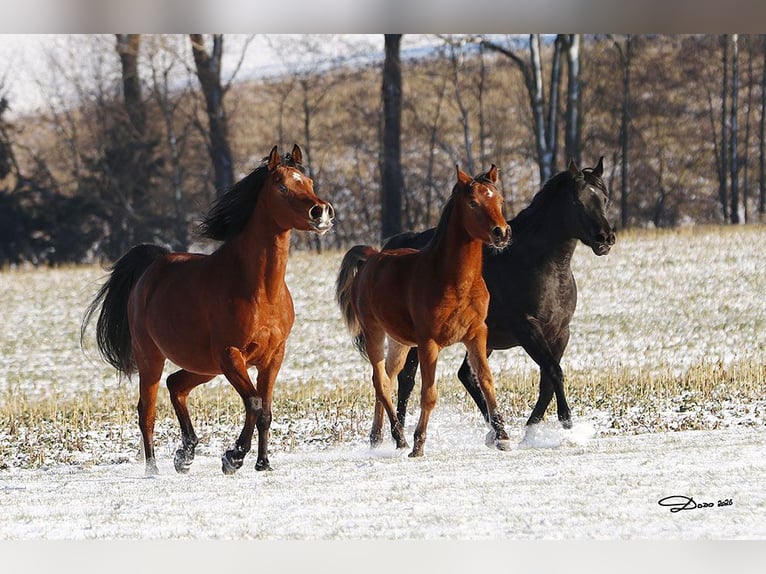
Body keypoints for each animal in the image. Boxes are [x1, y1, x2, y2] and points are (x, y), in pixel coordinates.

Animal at [81, 145, 334, 476]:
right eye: (282, 186)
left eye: (309, 183)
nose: (322, 212)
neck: (259, 289)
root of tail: (152, 266)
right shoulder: (231, 355)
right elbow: (254, 403)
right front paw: (233, 457)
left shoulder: (273, 357)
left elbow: (265, 411)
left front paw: (263, 463)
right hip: (152, 357)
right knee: (147, 410)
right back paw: (153, 469)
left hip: (204, 366)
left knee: (176, 385)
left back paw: (186, 453)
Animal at [336, 164, 512, 458]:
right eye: (473, 203)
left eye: (499, 200)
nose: (502, 233)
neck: (453, 281)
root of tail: (371, 257)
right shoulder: (429, 343)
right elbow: (429, 394)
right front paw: (418, 443)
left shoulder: (476, 335)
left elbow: (486, 381)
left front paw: (503, 436)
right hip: (375, 333)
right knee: (381, 382)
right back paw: (400, 438)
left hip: (399, 342)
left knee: (387, 378)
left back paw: (377, 437)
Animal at [385, 158, 615, 435]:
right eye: (577, 200)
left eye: (604, 198)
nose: (605, 239)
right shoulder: (527, 328)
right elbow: (554, 371)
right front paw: (566, 420)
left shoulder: (560, 332)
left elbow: (548, 380)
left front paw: (531, 429)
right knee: (406, 379)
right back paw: (398, 432)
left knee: (466, 375)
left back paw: (495, 428)